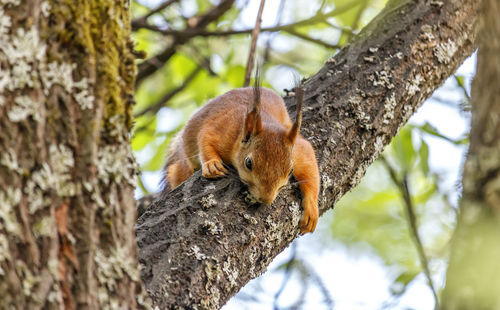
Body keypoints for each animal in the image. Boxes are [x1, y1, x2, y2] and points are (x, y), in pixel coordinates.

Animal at [165, 82, 320, 232]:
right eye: (248, 163)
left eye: (290, 170)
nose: (266, 199)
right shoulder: (222, 130)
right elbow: (205, 139)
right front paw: (212, 165)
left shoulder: (298, 150)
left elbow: (310, 166)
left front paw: (311, 209)